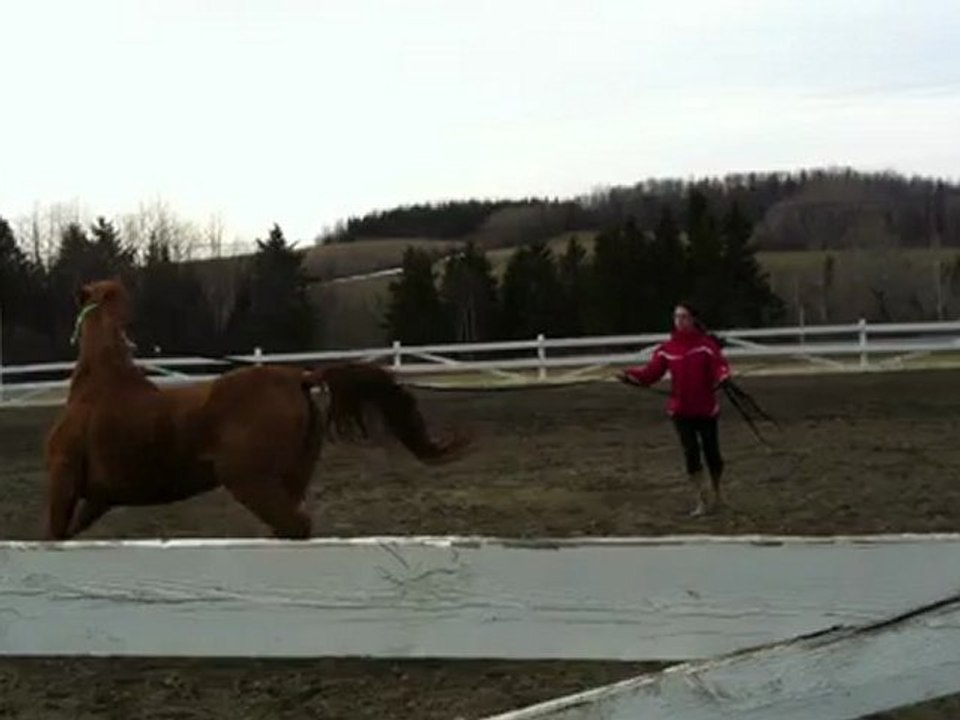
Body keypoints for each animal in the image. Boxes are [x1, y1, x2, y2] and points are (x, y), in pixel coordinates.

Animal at [43, 278, 469, 540]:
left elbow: (54, 535)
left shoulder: (64, 479)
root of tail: (298, 377)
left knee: (296, 526)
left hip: (249, 480)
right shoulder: (100, 498)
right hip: (288, 480)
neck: (99, 385)